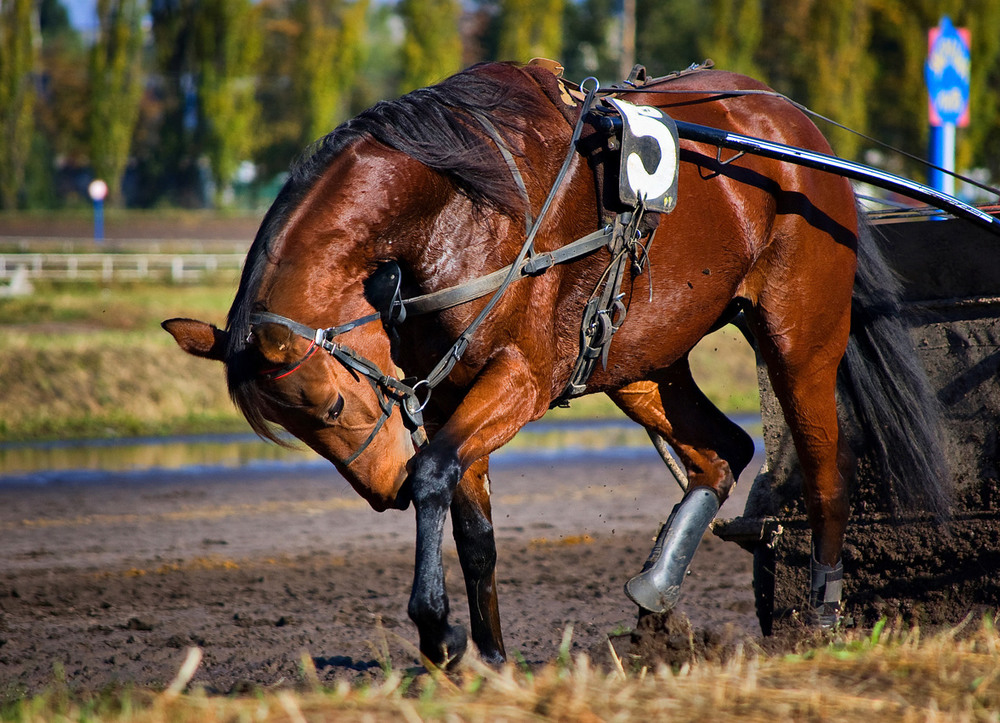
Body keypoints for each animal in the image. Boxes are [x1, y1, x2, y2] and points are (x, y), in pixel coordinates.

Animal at [164, 60, 944, 668]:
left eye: (329, 405)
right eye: (301, 431)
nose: (382, 489)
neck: (460, 198)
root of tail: (794, 125)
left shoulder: (521, 378)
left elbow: (433, 474)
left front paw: (438, 630)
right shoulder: (451, 394)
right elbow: (470, 526)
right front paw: (491, 655)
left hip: (800, 339)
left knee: (824, 474)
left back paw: (822, 613)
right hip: (639, 359)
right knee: (724, 450)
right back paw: (656, 589)